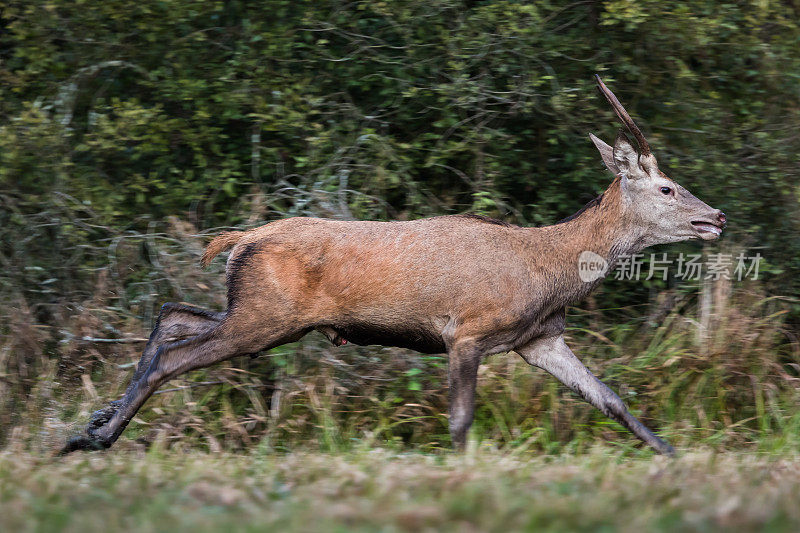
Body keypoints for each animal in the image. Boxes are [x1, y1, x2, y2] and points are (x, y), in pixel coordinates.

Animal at [62, 77, 724, 456]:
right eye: (666, 187)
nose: (716, 217)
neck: (548, 270)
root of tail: (244, 237)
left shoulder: (539, 339)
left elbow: (611, 399)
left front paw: (673, 456)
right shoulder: (469, 330)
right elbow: (460, 421)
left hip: (256, 310)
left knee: (174, 315)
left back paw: (94, 422)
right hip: (266, 314)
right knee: (176, 352)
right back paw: (92, 437)